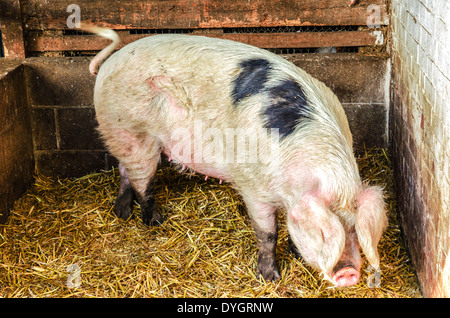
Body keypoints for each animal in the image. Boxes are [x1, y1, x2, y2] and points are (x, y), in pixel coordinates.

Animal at [82, 23, 388, 286]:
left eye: (355, 231)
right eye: (325, 232)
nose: (348, 273)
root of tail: (108, 65)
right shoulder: (254, 188)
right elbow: (268, 233)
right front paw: (270, 278)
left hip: (125, 137)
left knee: (125, 169)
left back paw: (122, 213)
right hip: (132, 130)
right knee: (142, 182)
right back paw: (154, 222)